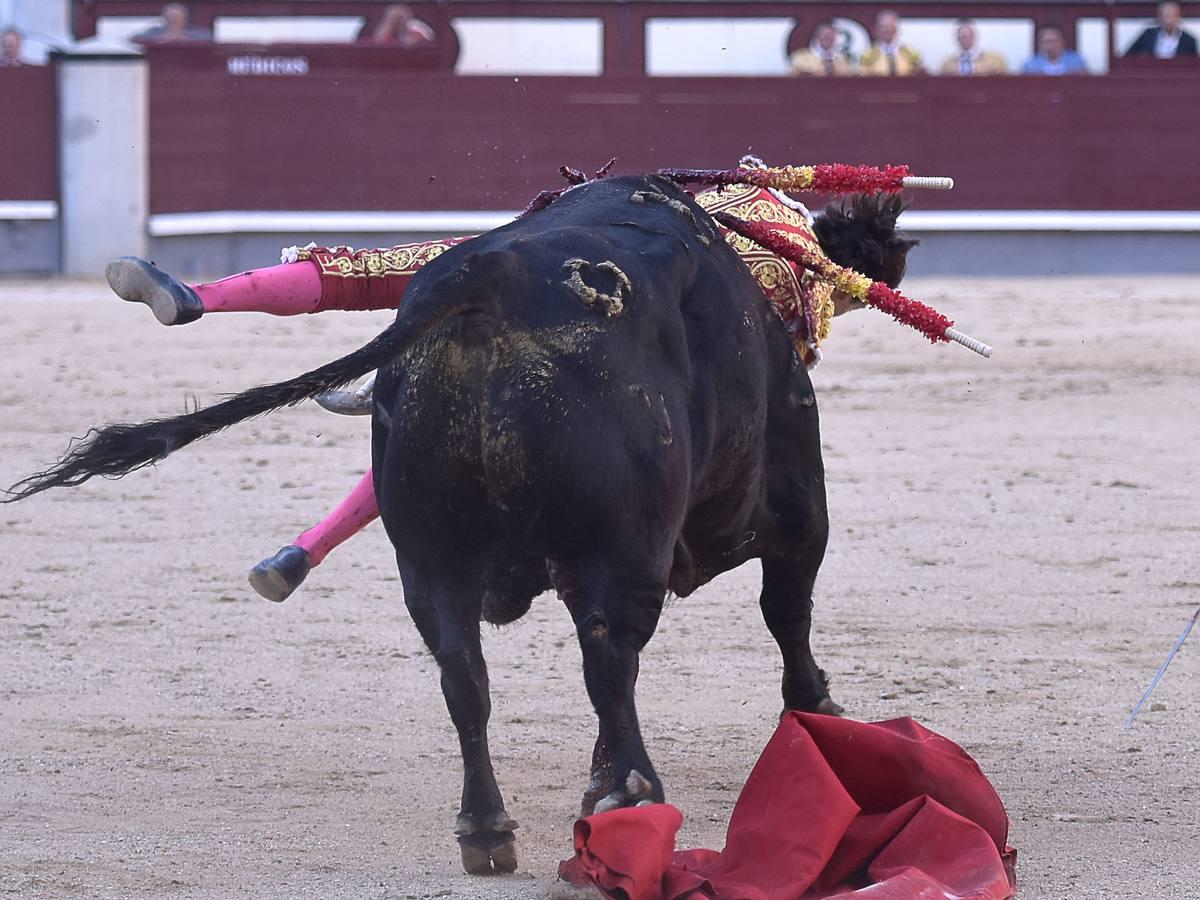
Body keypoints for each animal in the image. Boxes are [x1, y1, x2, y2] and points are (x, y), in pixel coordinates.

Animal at [7, 176, 907, 873]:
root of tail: (487, 277)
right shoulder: (794, 499)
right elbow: (786, 610)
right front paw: (818, 712)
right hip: (622, 550)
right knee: (610, 656)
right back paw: (631, 794)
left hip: (431, 559)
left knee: (462, 675)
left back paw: (487, 828)